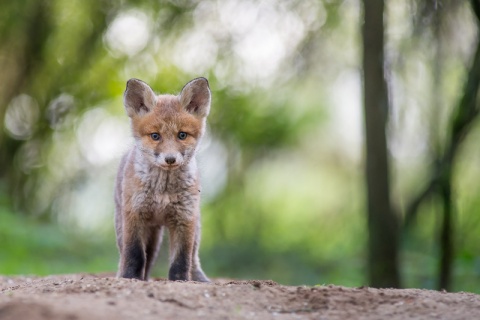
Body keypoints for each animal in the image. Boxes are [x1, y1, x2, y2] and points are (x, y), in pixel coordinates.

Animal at [115, 78, 211, 282]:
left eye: (182, 135)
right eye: (155, 136)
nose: (170, 159)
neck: (163, 191)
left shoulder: (184, 218)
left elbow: (181, 258)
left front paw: (180, 280)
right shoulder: (134, 215)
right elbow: (134, 254)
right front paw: (129, 277)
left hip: (192, 227)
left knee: (193, 258)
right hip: (129, 226)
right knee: (134, 255)